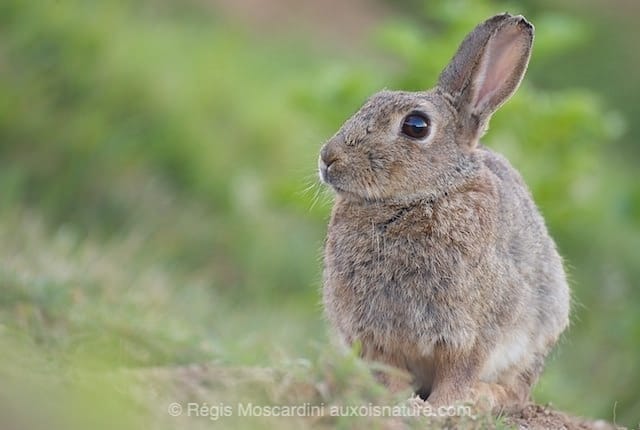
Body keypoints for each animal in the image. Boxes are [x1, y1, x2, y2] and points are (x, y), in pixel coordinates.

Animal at [320, 11, 568, 412]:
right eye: (371, 101)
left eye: (416, 126)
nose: (328, 158)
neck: (422, 198)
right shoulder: (373, 335)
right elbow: (388, 374)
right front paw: (396, 403)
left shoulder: (471, 334)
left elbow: (459, 373)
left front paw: (440, 408)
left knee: (516, 390)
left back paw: (485, 396)